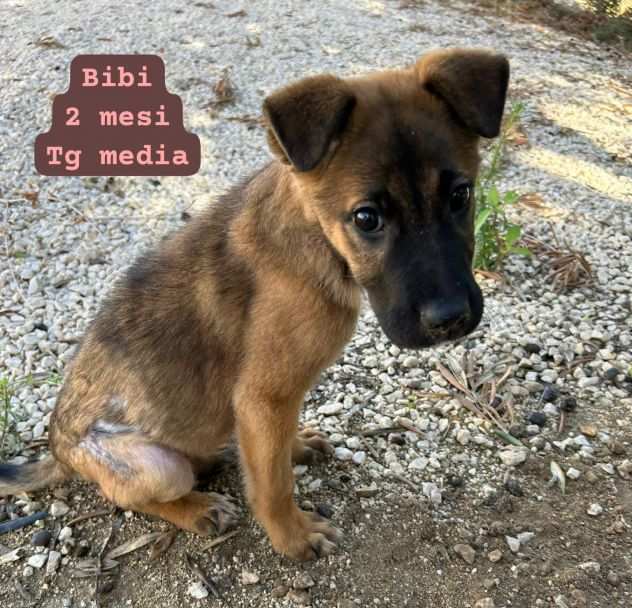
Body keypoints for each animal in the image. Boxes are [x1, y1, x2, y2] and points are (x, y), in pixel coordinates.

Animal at [0, 47, 508, 560]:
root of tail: (57, 448)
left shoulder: (270, 404)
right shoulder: (263, 397)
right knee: (133, 494)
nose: (451, 319)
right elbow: (272, 483)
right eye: (367, 218)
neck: (318, 237)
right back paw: (198, 508)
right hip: (156, 465)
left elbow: (274, 451)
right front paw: (292, 535)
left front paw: (294, 447)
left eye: (461, 195)